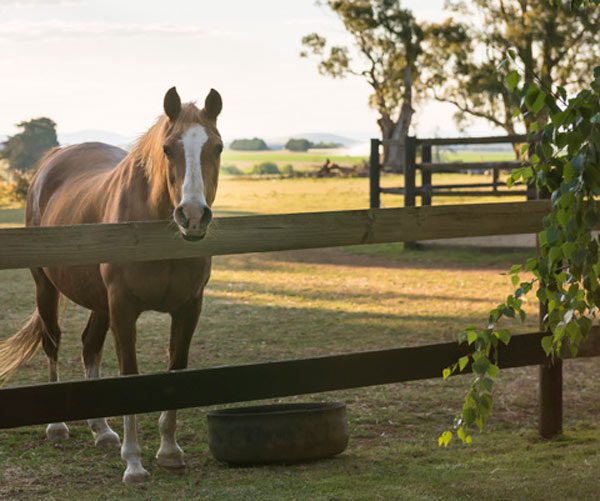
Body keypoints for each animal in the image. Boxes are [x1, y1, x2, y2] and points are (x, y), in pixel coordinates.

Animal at [0, 88, 224, 482]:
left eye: (218, 147)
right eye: (168, 148)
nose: (193, 215)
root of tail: (52, 160)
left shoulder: (188, 308)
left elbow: (175, 370)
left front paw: (169, 452)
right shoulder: (123, 309)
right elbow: (128, 374)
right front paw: (133, 463)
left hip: (98, 303)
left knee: (89, 347)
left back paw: (102, 430)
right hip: (47, 288)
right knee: (52, 342)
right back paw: (57, 426)